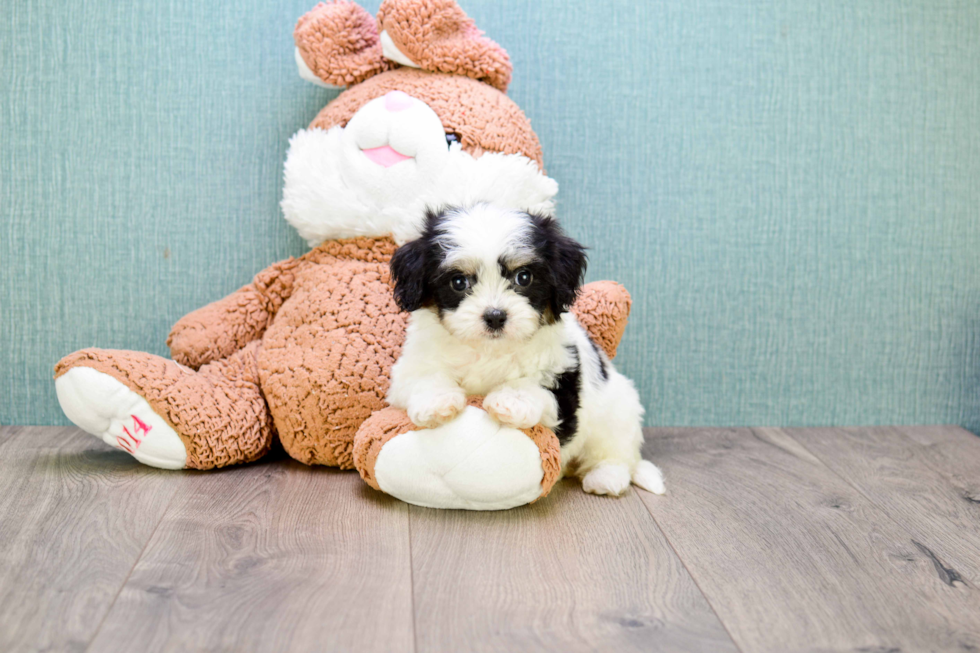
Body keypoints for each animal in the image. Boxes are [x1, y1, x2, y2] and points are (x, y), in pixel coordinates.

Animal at [384, 204, 668, 494]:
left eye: (524, 277)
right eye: (459, 282)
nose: (495, 316)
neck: (489, 350)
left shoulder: (563, 375)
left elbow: (538, 387)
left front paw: (512, 399)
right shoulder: (411, 366)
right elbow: (423, 376)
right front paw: (437, 401)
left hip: (616, 414)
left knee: (616, 453)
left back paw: (606, 477)